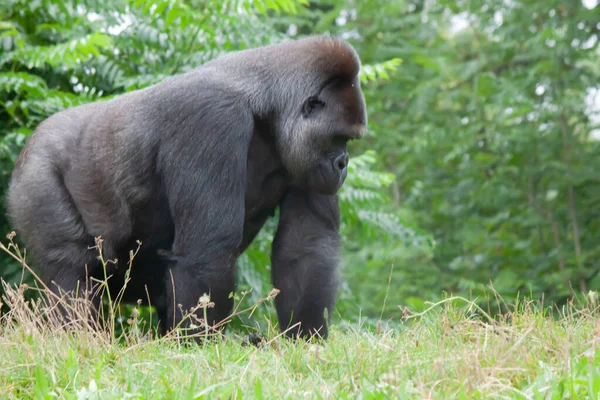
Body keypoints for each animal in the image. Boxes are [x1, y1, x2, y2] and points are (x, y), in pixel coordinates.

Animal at [7, 35, 368, 340]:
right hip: (35, 174)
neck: (268, 106)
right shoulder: (212, 117)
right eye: (339, 138)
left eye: (348, 141)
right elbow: (207, 250)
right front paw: (201, 346)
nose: (343, 163)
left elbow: (305, 247)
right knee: (72, 267)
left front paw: (304, 338)